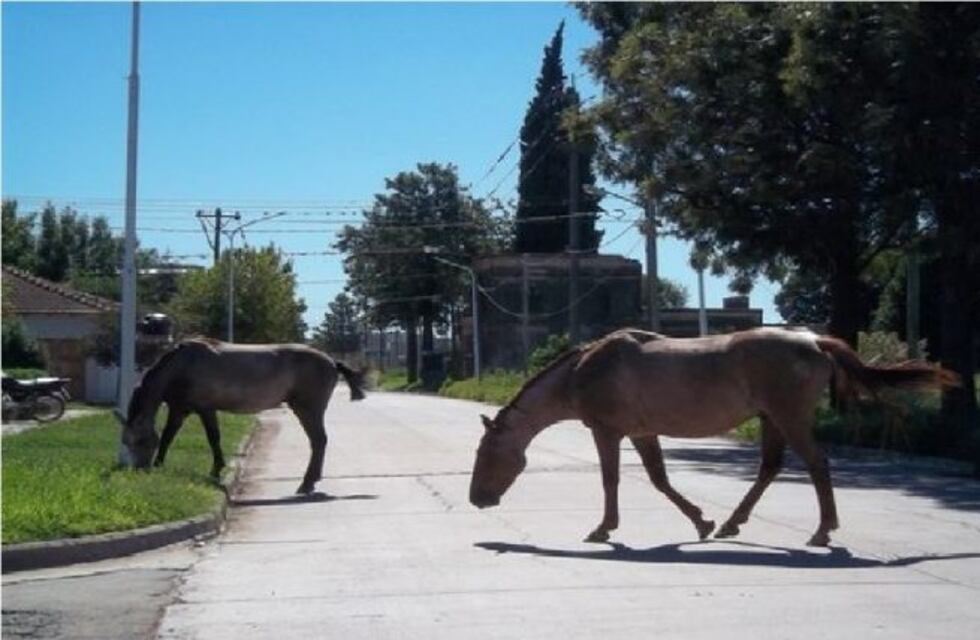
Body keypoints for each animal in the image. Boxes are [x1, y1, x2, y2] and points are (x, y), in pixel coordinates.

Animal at [116, 338, 365, 494]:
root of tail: (332, 361)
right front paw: (160, 465)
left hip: (308, 410)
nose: (140, 470)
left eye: (140, 441)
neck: (182, 365)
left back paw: (306, 483)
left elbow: (213, 438)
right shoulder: (179, 410)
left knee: (318, 441)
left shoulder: (206, 409)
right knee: (319, 442)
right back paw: (311, 481)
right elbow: (168, 436)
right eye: (125, 442)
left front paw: (216, 470)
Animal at [469, 327, 958, 547]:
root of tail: (814, 341)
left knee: (817, 465)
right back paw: (730, 523)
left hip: (790, 417)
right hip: (771, 419)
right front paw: (701, 522)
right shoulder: (642, 432)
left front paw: (603, 528)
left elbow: (612, 481)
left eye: (487, 453)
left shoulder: (608, 431)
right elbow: (660, 480)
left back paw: (822, 531)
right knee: (769, 469)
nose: (478, 499)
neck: (582, 371)